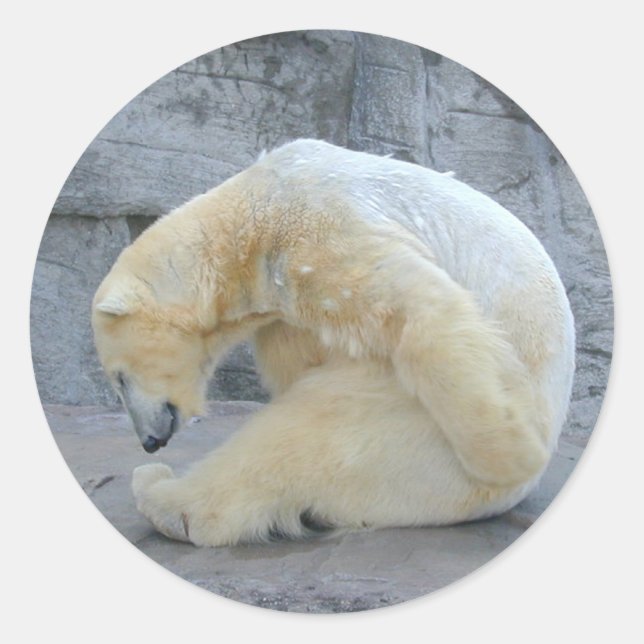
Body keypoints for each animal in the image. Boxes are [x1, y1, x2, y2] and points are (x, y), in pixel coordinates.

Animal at [91, 139, 575, 546]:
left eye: (119, 379)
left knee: (301, 438)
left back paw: (158, 490)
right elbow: (305, 354)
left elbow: (424, 308)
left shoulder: (320, 228)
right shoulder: (284, 299)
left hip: (413, 439)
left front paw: (512, 456)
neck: (250, 215)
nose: (149, 440)